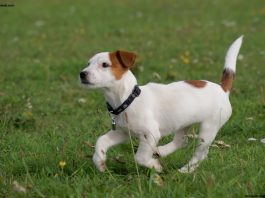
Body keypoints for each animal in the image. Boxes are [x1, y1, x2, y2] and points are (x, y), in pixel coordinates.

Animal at [79, 36, 242, 172]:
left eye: (105, 64)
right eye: (88, 64)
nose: (82, 73)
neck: (127, 99)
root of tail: (223, 88)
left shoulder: (150, 134)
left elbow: (140, 157)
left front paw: (154, 166)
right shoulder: (123, 132)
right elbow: (101, 140)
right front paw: (99, 161)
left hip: (209, 128)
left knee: (200, 154)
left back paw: (185, 170)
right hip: (183, 123)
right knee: (181, 142)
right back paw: (160, 151)